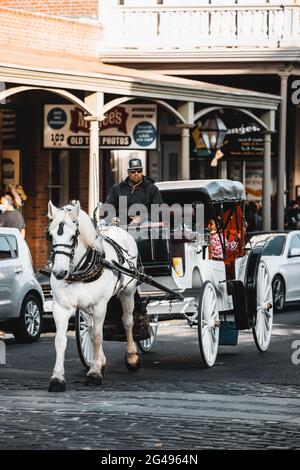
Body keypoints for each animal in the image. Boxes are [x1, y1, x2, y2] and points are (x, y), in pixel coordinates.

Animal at [47, 200, 141, 392]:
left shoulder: (99, 306)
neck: (80, 270)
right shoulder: (60, 307)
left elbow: (98, 337)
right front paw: (57, 378)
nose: (59, 273)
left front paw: (95, 373)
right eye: (50, 236)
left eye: (73, 236)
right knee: (91, 329)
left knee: (127, 321)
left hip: (127, 292)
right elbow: (60, 340)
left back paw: (131, 356)